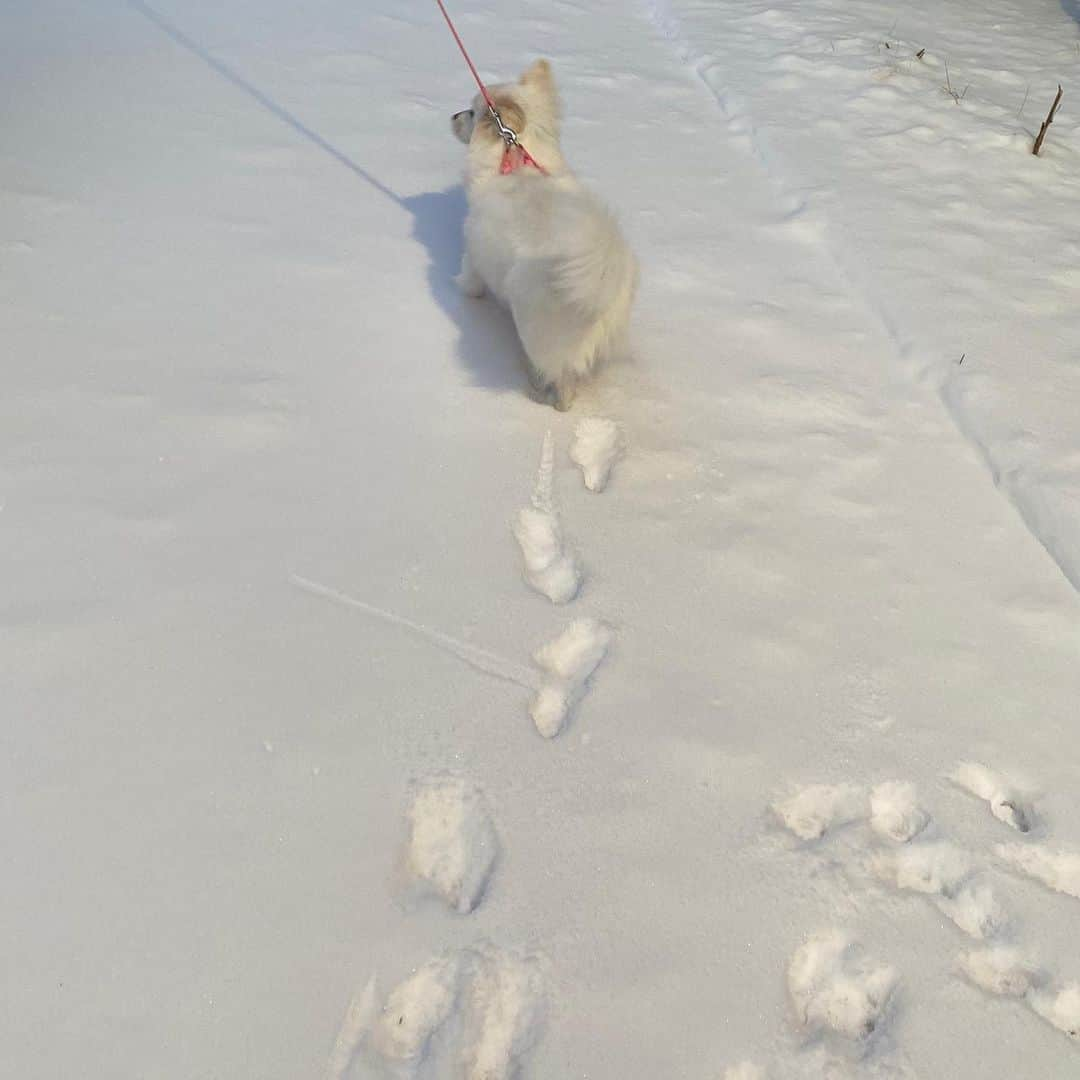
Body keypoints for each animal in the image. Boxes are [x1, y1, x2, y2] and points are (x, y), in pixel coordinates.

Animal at [451, 62, 635, 408]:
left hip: (535, 326)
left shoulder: (473, 247)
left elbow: (471, 277)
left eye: (470, 112)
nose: (452, 116)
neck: (514, 158)